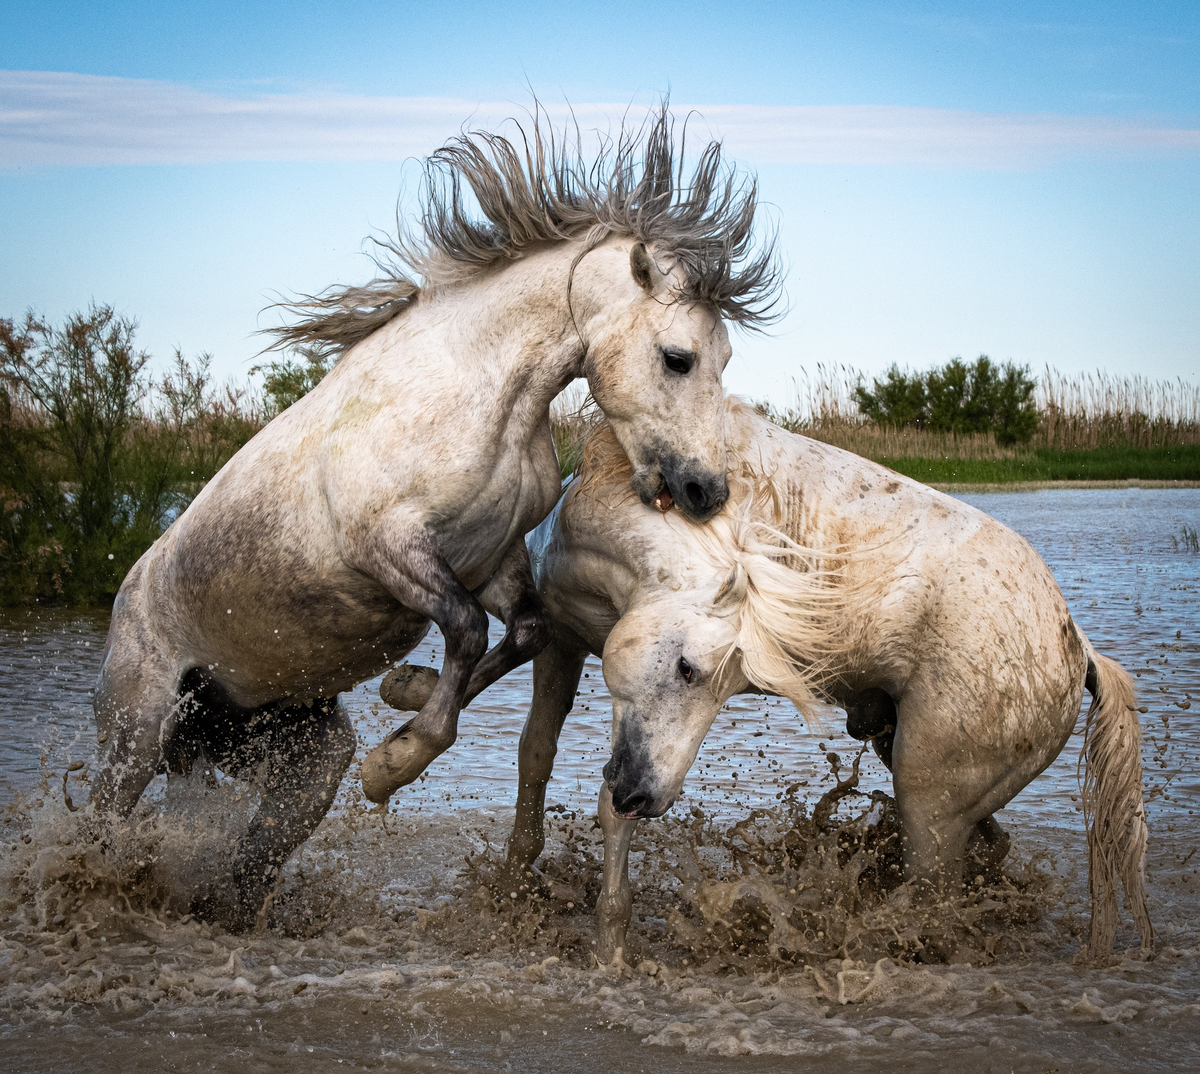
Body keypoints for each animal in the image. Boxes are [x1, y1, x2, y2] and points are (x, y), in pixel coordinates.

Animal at [88, 111, 772, 931]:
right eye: (678, 358)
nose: (706, 490)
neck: (480, 392)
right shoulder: (392, 552)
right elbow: (468, 633)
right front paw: (395, 766)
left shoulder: (493, 559)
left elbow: (521, 633)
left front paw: (403, 705)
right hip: (137, 733)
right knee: (100, 820)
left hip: (294, 756)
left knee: (255, 859)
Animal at [463, 398, 1147, 960]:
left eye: (703, 676)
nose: (644, 797)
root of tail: (1078, 647)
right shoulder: (562, 643)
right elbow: (536, 756)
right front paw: (518, 886)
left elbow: (604, 812)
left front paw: (610, 951)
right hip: (912, 758)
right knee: (989, 849)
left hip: (928, 797)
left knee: (931, 902)